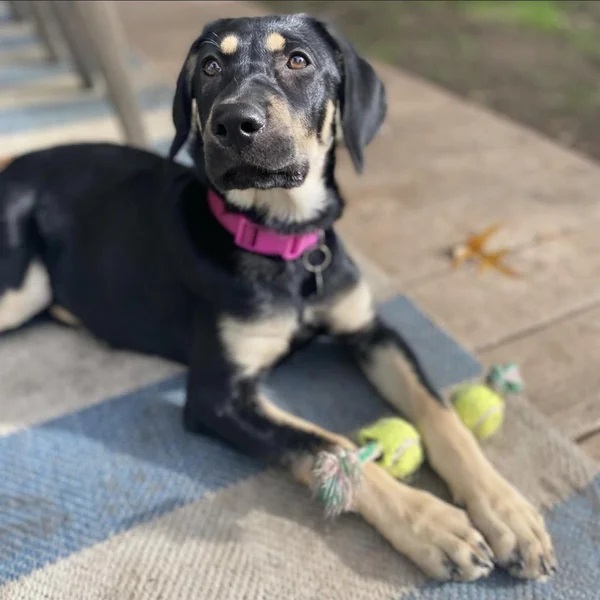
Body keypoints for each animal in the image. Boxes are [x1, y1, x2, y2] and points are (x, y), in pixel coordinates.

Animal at [0, 12, 556, 580]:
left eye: (298, 60)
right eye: (209, 66)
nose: (233, 123)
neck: (284, 242)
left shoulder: (371, 331)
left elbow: (440, 413)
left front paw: (507, 511)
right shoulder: (217, 395)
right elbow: (326, 445)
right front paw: (431, 523)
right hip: (21, 285)